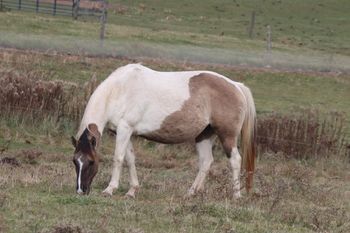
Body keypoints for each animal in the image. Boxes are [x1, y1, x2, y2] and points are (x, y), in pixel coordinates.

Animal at [72, 63, 258, 198]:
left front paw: (110, 189)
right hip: (204, 135)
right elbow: (130, 159)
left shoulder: (125, 129)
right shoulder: (124, 132)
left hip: (227, 135)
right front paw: (132, 191)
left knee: (235, 160)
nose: (81, 190)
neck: (119, 89)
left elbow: (118, 158)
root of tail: (237, 86)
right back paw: (191, 193)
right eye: (75, 161)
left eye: (91, 161)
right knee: (206, 161)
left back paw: (236, 195)